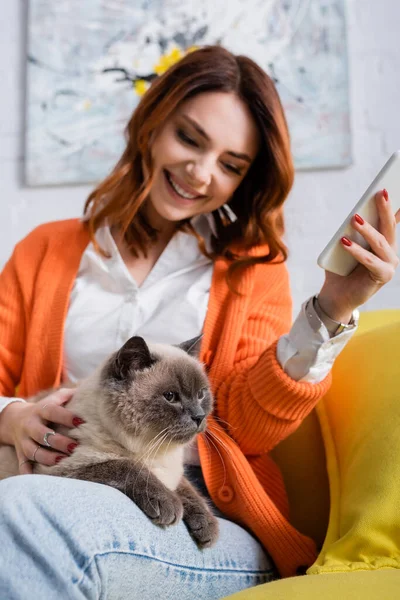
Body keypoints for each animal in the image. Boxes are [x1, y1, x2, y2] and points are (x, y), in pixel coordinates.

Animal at [0, 336, 219, 548]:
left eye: (201, 394)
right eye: (170, 397)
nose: (199, 417)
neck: (152, 449)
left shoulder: (173, 473)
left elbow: (189, 490)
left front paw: (207, 526)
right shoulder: (65, 467)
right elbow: (127, 467)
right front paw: (169, 505)